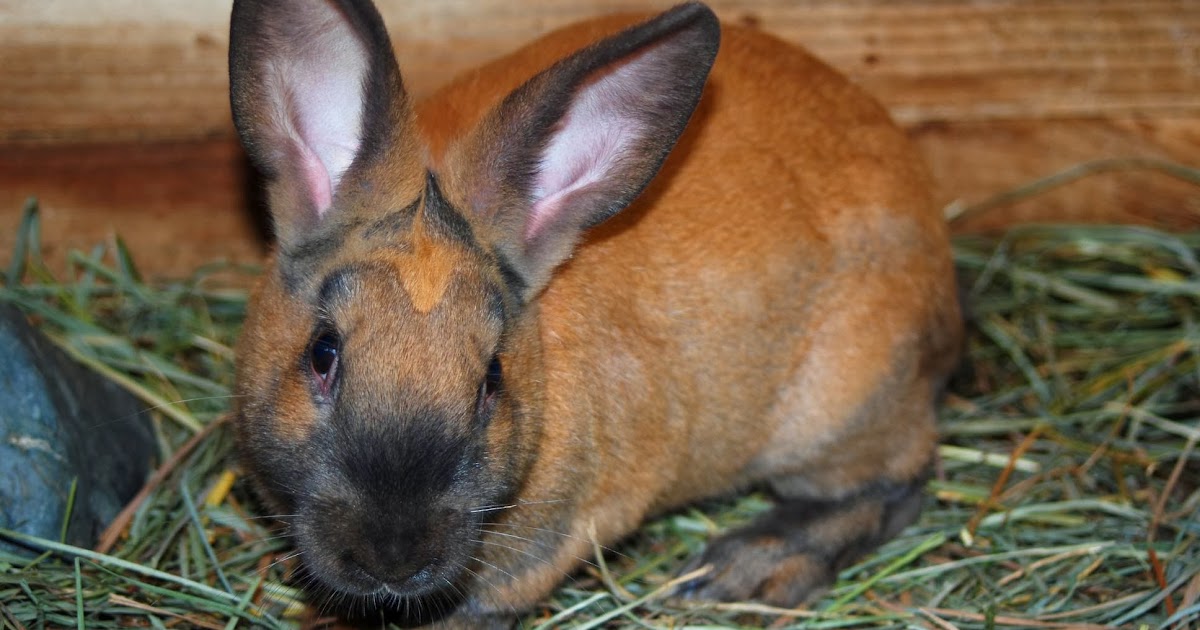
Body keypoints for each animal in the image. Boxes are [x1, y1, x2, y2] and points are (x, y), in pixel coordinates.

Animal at [228, 0, 962, 627]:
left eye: (491, 379)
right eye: (322, 353)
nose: (391, 558)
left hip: (839, 410)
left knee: (897, 486)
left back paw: (747, 566)